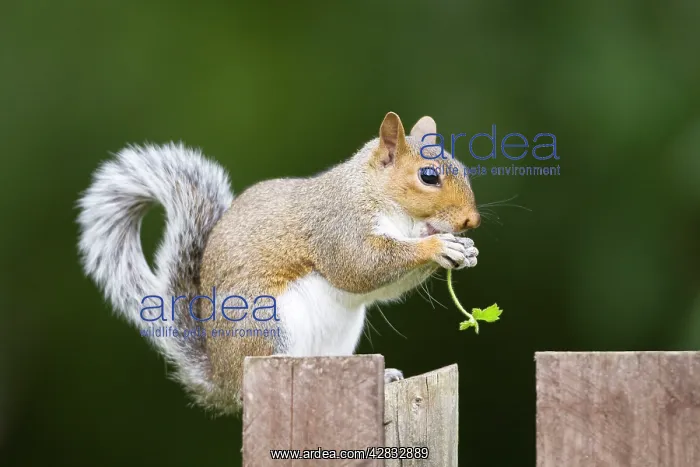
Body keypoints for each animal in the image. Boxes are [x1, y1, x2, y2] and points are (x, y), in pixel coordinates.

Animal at [77, 112, 480, 415]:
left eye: (462, 168)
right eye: (428, 176)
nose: (471, 221)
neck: (378, 197)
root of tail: (221, 380)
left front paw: (466, 249)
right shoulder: (338, 227)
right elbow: (359, 266)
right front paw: (438, 246)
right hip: (264, 325)